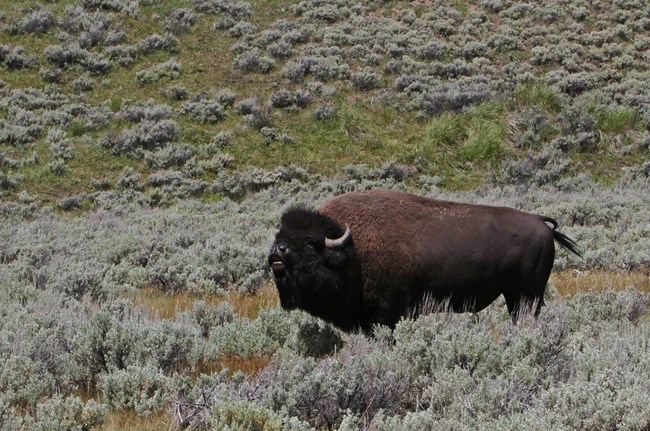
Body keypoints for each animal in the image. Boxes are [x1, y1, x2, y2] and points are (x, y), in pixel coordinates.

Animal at [266, 190, 580, 334]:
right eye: (280, 235)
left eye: (310, 243)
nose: (276, 253)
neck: (350, 250)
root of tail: (540, 222)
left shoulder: (386, 315)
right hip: (513, 295)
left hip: (529, 295)